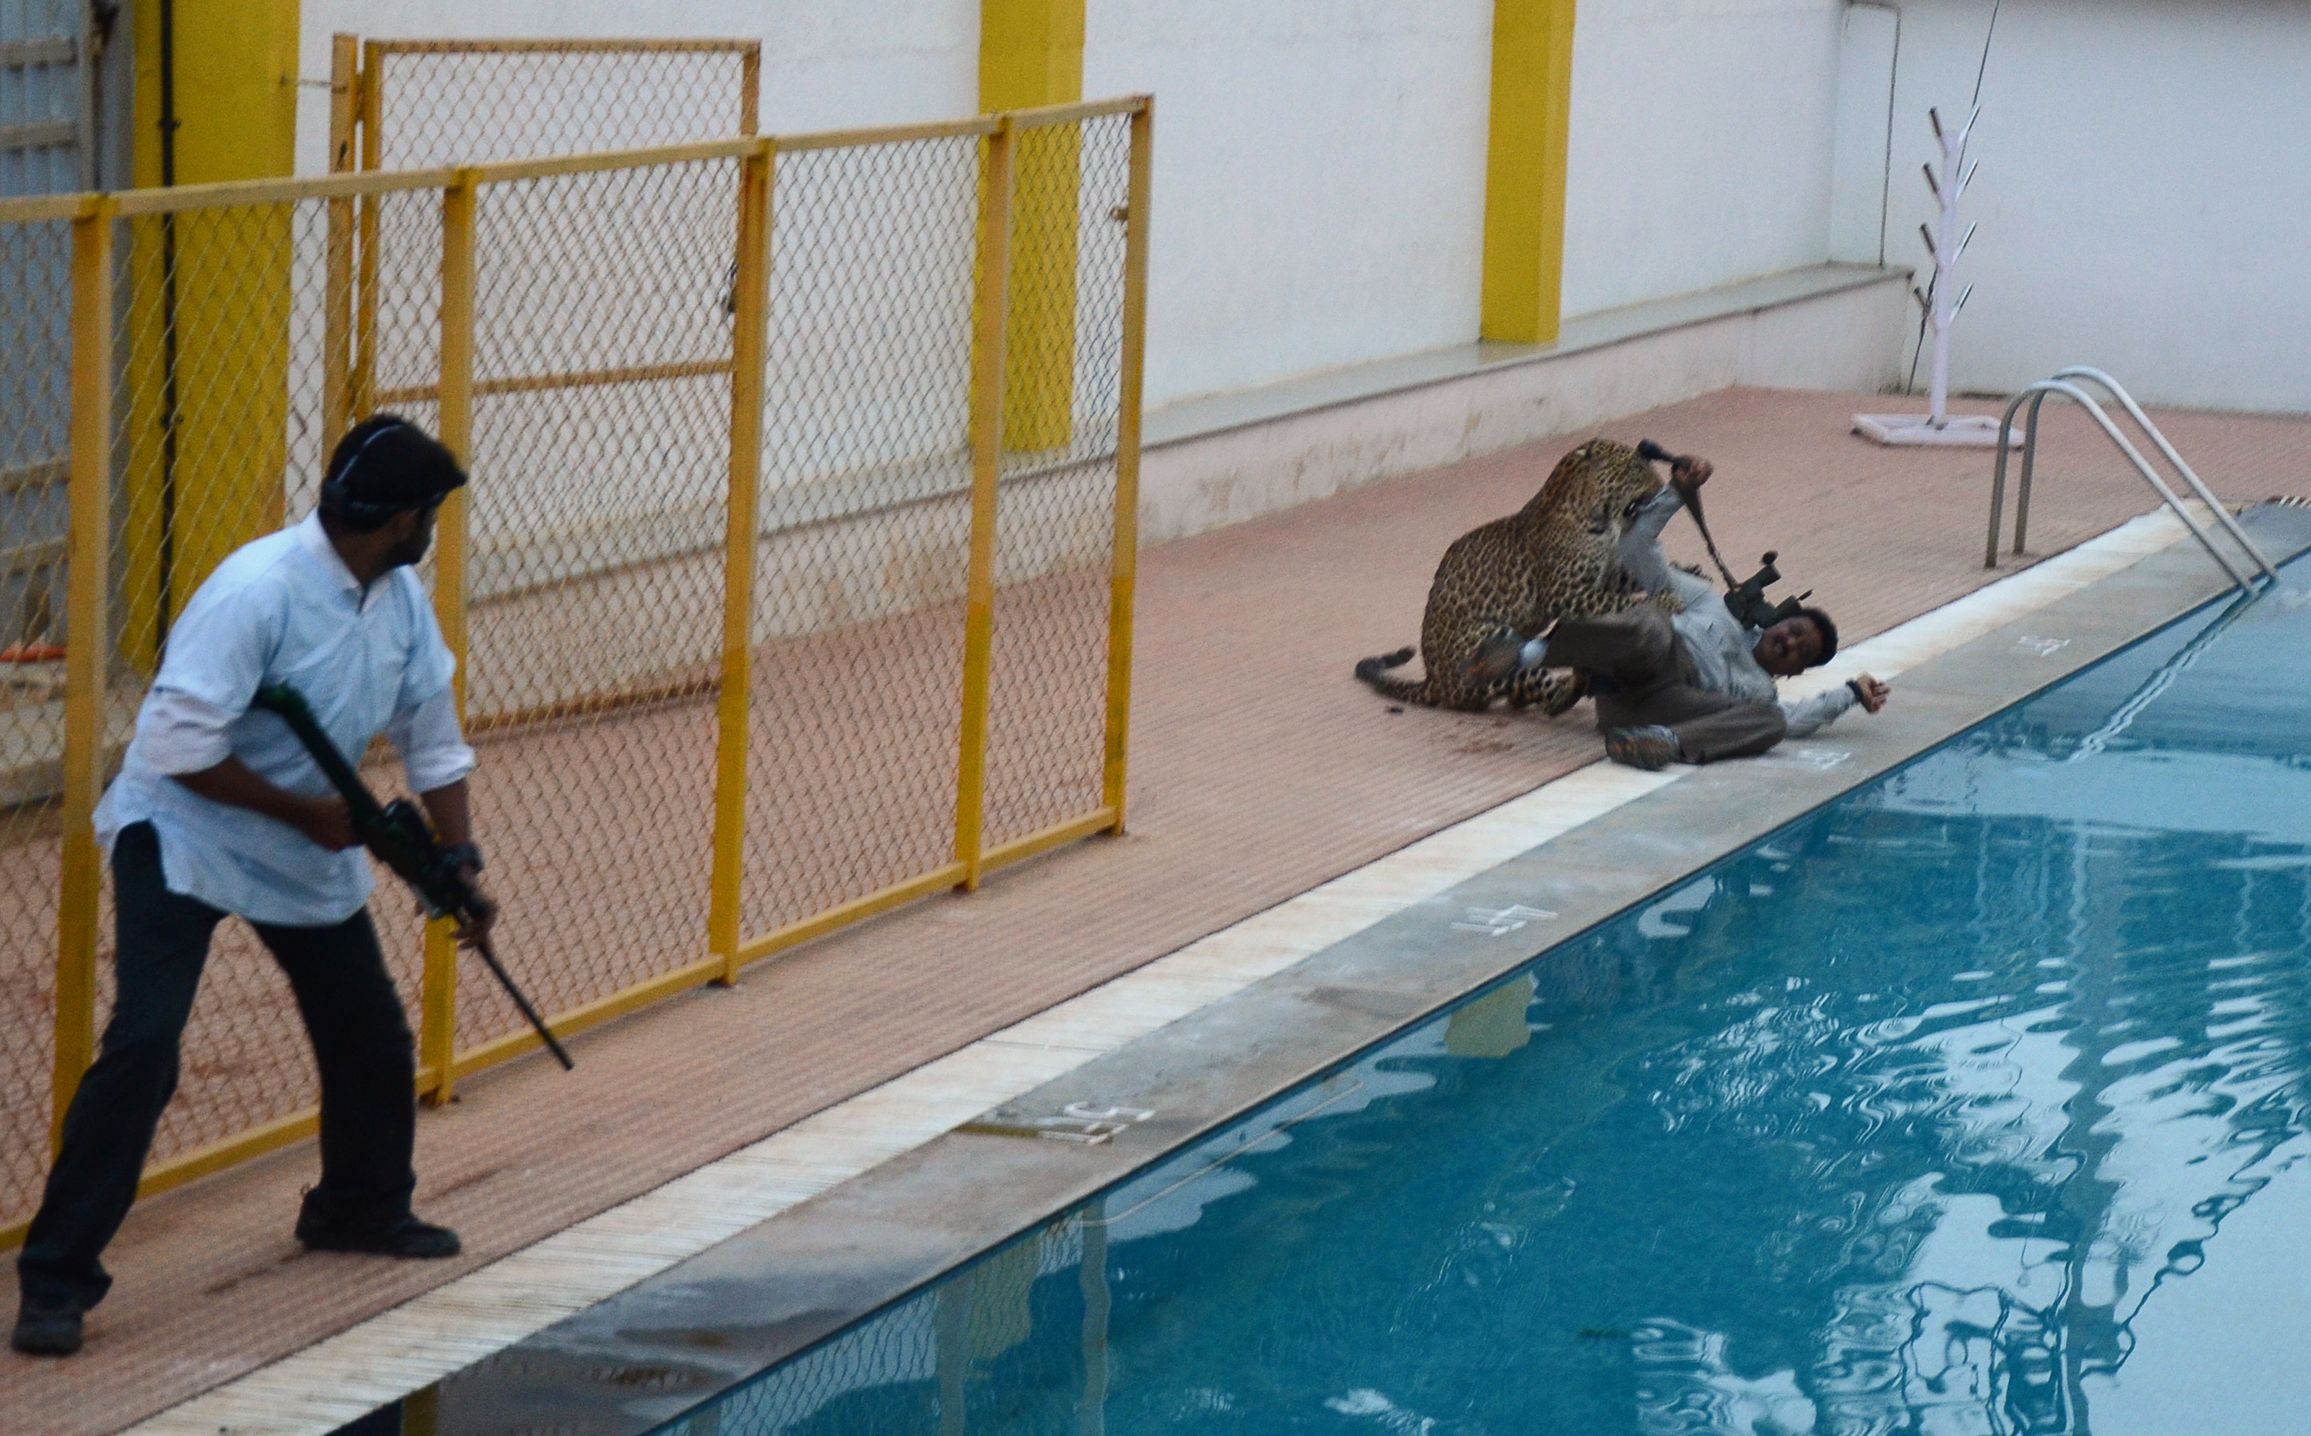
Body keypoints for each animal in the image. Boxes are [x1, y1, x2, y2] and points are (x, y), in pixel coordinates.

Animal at [1353, 437, 1684, 714]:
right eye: (1635, 469)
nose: (1661, 485)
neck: (1598, 520)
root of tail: (1434, 682)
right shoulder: (1567, 594)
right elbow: (1620, 602)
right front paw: (1666, 600)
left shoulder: (1607, 574)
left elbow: (1628, 580)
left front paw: (1684, 569)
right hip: (1495, 645)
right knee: (1543, 698)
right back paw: (1574, 682)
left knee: (1522, 695)